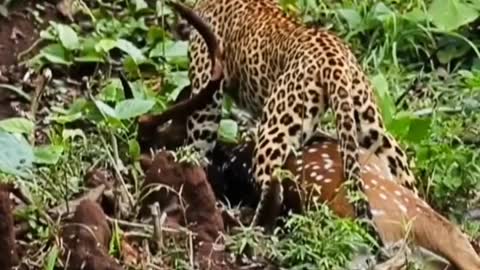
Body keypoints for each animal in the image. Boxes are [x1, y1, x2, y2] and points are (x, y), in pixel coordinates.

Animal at [163, 0, 414, 232]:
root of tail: (334, 56)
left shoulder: (207, 90)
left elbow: (198, 147)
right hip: (368, 122)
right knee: (400, 163)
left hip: (276, 126)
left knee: (273, 187)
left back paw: (252, 229)